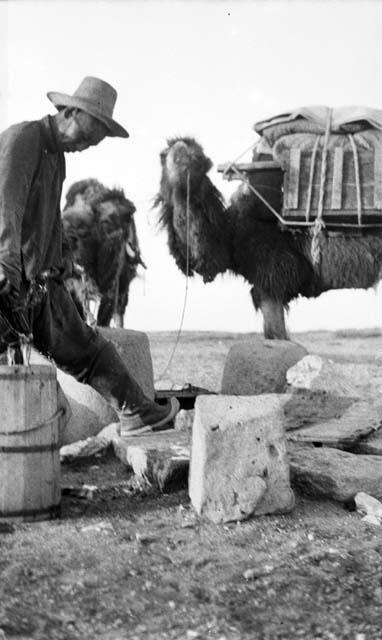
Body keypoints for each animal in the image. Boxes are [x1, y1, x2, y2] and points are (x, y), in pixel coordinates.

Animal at [61, 181, 145, 328]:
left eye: (104, 221)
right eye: (68, 206)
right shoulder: (73, 288)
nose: (68, 237)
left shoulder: (111, 289)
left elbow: (104, 318)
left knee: (119, 313)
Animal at [154, 136, 382, 340]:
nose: (190, 166)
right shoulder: (267, 283)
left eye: (197, 156)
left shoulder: (272, 278)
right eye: (172, 156)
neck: (231, 235)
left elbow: (277, 337)